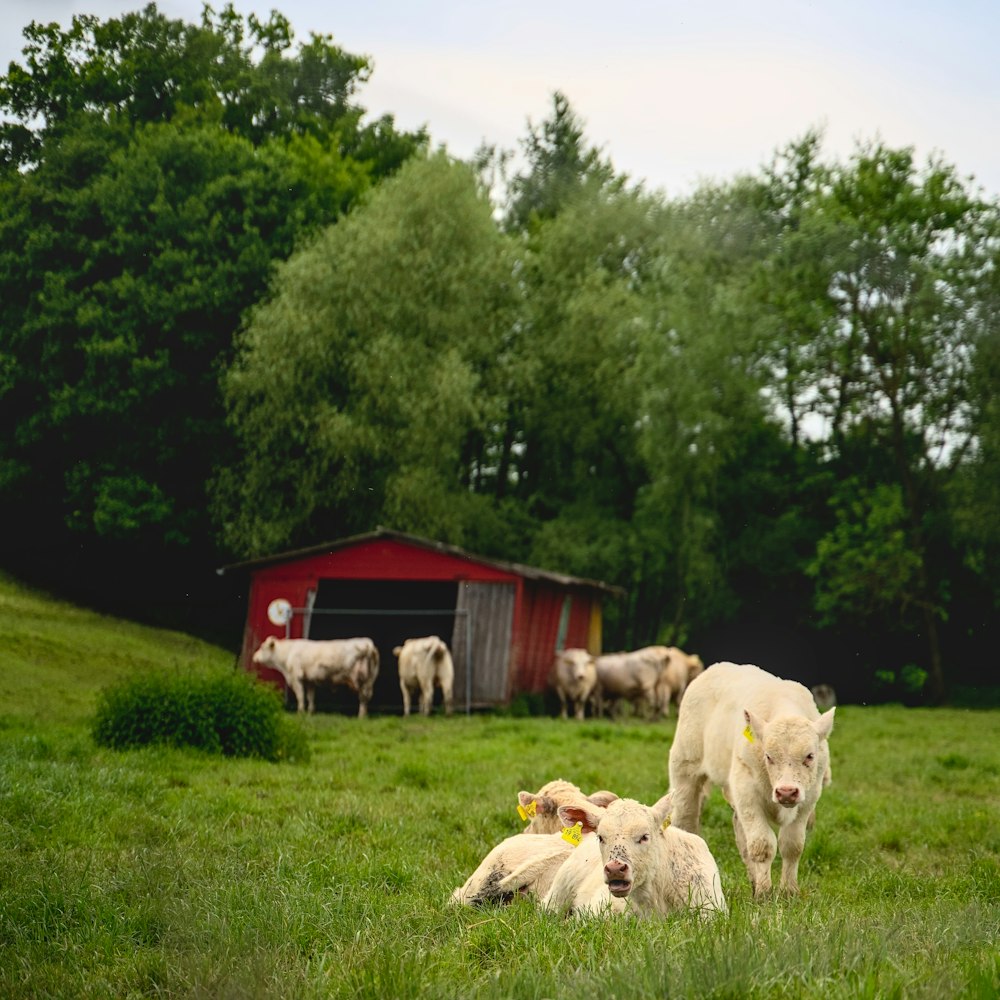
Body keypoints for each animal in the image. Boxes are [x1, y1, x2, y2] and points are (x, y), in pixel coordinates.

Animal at [252, 632, 380, 720]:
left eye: (262, 647)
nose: (254, 656)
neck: (288, 654)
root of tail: (367, 643)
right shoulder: (310, 680)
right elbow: (310, 697)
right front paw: (310, 712)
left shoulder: (296, 678)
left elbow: (300, 696)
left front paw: (300, 712)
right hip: (370, 680)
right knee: (366, 698)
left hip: (362, 680)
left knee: (363, 698)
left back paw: (361, 716)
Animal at [668, 664, 840, 900]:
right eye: (768, 756)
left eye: (810, 756)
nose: (786, 792)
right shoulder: (747, 793)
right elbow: (762, 845)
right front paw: (765, 893)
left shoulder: (808, 799)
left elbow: (792, 845)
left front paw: (788, 891)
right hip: (685, 769)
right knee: (686, 820)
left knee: (741, 835)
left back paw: (753, 881)